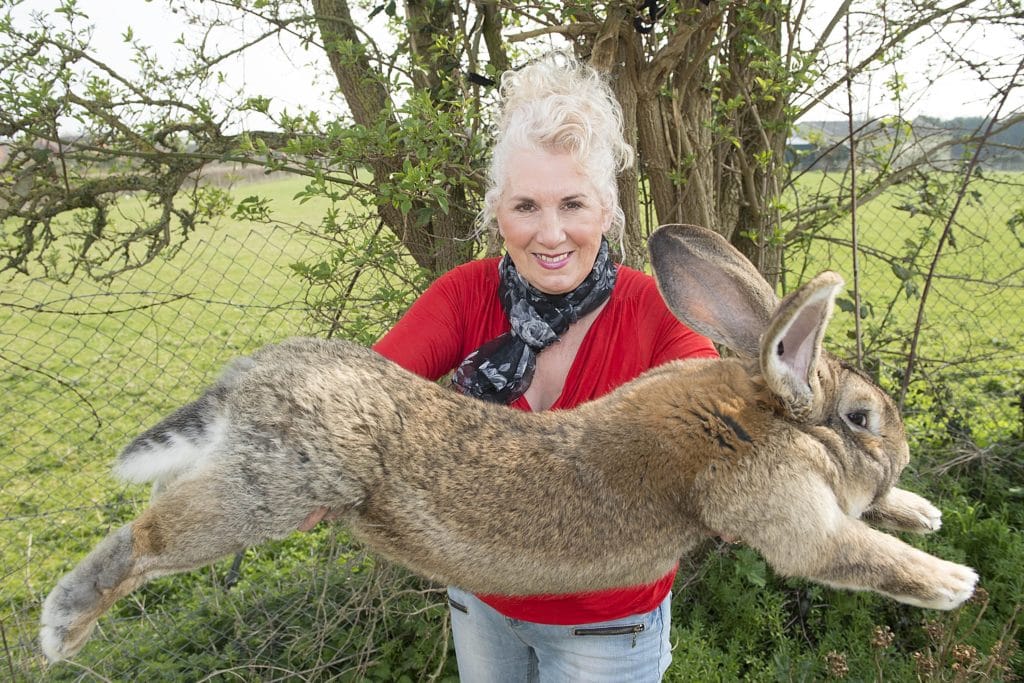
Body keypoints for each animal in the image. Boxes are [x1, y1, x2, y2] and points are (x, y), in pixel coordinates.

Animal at [39, 224, 974, 663]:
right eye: (862, 417)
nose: (902, 454)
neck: (761, 413)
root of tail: (246, 382)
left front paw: (921, 509)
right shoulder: (784, 512)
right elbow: (852, 552)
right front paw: (951, 580)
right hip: (267, 492)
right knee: (146, 537)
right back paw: (62, 629)